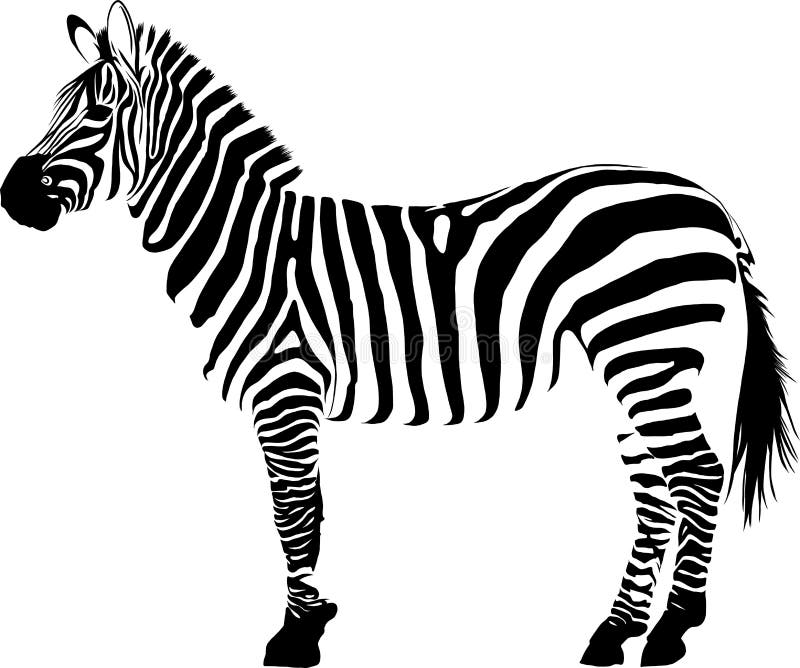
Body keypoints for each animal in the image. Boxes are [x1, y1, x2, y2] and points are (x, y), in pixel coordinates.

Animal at [0, 3, 795, 667]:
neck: (250, 244)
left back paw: (670, 632)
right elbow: (312, 510)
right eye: (57, 108)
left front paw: (296, 637)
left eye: (100, 115)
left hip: (647, 349)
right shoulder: (294, 401)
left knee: (698, 475)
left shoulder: (285, 389)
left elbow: (293, 511)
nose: (11, 197)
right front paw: (316, 616)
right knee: (655, 490)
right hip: (645, 361)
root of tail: (709, 202)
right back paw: (613, 633)